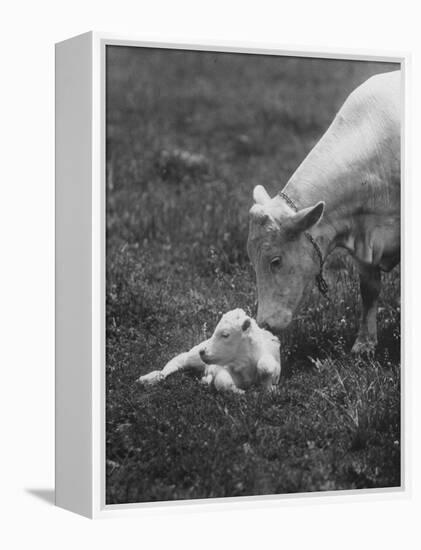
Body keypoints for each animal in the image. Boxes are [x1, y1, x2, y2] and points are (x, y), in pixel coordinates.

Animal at [137, 308, 278, 394]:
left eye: (225, 335)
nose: (202, 351)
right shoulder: (222, 368)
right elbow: (222, 381)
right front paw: (240, 392)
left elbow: (266, 366)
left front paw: (270, 389)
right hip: (193, 357)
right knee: (176, 362)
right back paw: (150, 378)